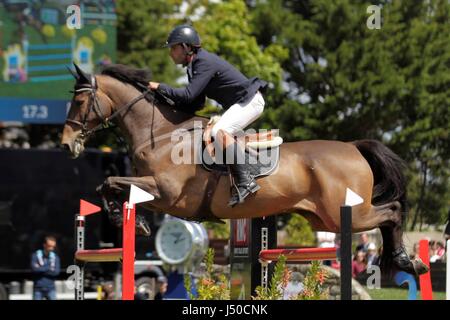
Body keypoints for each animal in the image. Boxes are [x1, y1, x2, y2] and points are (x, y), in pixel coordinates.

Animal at [61, 63, 428, 276]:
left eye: (79, 102)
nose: (66, 144)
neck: (160, 134)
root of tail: (353, 146)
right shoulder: (153, 191)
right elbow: (107, 185)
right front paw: (132, 223)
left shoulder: (165, 192)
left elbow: (110, 181)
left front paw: (129, 223)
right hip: (323, 219)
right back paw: (403, 262)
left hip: (345, 214)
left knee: (392, 211)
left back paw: (405, 261)